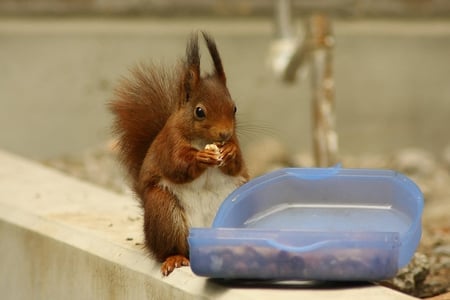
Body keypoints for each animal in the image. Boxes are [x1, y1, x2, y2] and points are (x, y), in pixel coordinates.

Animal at [109, 31, 250, 276]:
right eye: (199, 111)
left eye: (234, 108)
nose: (224, 134)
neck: (202, 141)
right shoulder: (170, 144)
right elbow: (177, 166)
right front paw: (201, 158)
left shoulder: (236, 142)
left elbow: (238, 164)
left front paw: (230, 152)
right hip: (164, 210)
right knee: (172, 248)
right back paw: (175, 258)